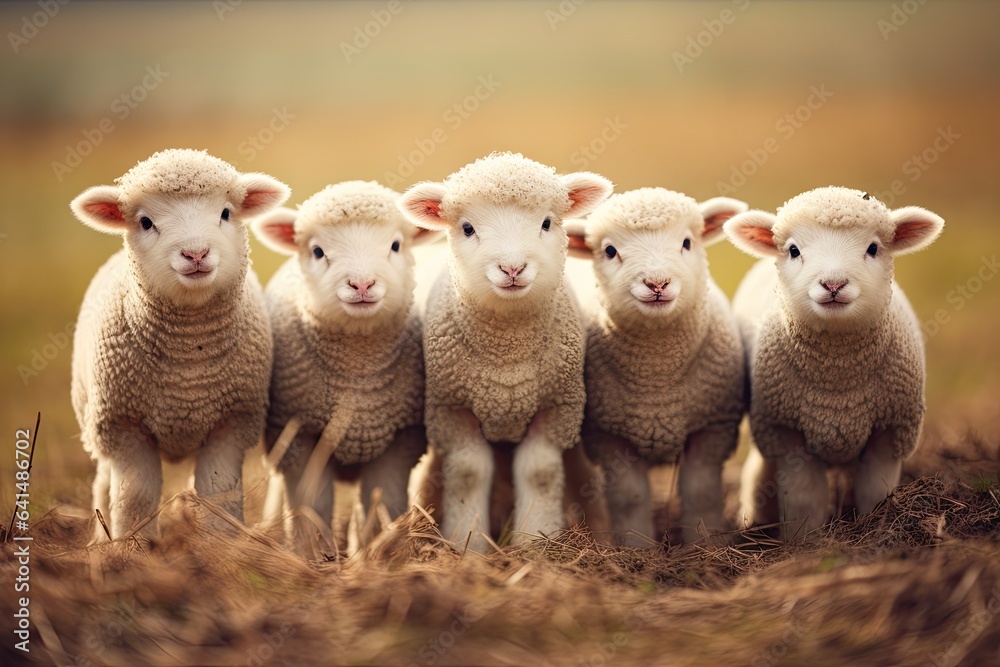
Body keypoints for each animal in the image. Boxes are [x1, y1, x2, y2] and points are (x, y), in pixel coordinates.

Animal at [69, 148, 290, 540]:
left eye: (225, 213)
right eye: (145, 222)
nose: (196, 254)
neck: (188, 358)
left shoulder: (231, 422)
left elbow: (218, 491)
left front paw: (221, 544)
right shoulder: (122, 425)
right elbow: (136, 495)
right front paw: (134, 546)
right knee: (103, 484)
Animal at [252, 181, 430, 551]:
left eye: (395, 245)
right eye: (318, 251)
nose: (361, 284)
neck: (355, 373)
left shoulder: (398, 441)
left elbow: (384, 500)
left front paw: (379, 548)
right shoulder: (300, 434)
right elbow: (311, 505)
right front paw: (312, 553)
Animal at [398, 152, 613, 552]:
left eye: (547, 222)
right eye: (467, 228)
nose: (512, 268)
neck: (506, 354)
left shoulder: (556, 407)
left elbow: (540, 472)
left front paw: (536, 543)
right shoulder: (452, 409)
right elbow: (468, 472)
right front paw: (466, 544)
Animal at [565, 188, 748, 546]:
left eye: (687, 242)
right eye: (609, 250)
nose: (657, 283)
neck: (657, 376)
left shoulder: (712, 427)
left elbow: (700, 491)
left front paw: (703, 545)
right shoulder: (608, 435)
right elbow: (629, 496)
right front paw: (637, 547)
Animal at [724, 186, 944, 536]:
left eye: (873, 248)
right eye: (794, 250)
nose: (833, 284)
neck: (837, 376)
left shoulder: (891, 431)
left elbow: (875, 493)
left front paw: (877, 527)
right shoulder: (788, 433)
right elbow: (804, 501)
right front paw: (805, 541)